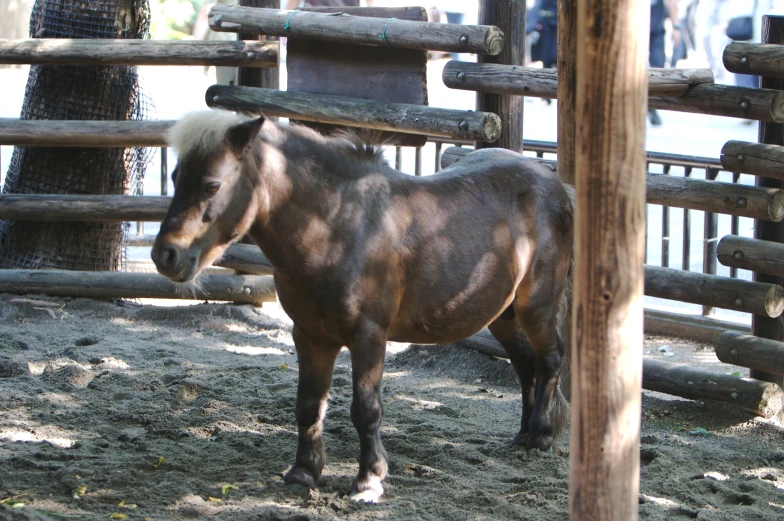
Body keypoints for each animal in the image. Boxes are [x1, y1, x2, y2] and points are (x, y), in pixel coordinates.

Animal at [152, 110, 568, 504]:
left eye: (212, 185)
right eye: (175, 177)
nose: (165, 255)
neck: (339, 225)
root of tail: (555, 184)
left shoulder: (369, 336)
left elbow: (366, 410)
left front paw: (369, 480)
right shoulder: (310, 337)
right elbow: (308, 405)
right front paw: (303, 473)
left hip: (536, 307)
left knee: (549, 359)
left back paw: (542, 436)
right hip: (502, 315)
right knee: (525, 365)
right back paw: (522, 436)